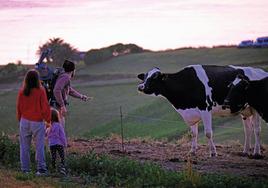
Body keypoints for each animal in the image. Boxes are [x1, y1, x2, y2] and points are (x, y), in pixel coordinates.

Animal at [137, 64, 268, 157]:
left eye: (154, 77)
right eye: (145, 76)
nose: (140, 87)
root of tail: (261, 71)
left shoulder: (205, 108)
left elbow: (208, 133)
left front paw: (213, 152)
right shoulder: (191, 112)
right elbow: (193, 133)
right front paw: (192, 151)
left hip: (255, 108)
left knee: (257, 130)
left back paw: (256, 152)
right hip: (244, 110)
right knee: (248, 130)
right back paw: (245, 151)